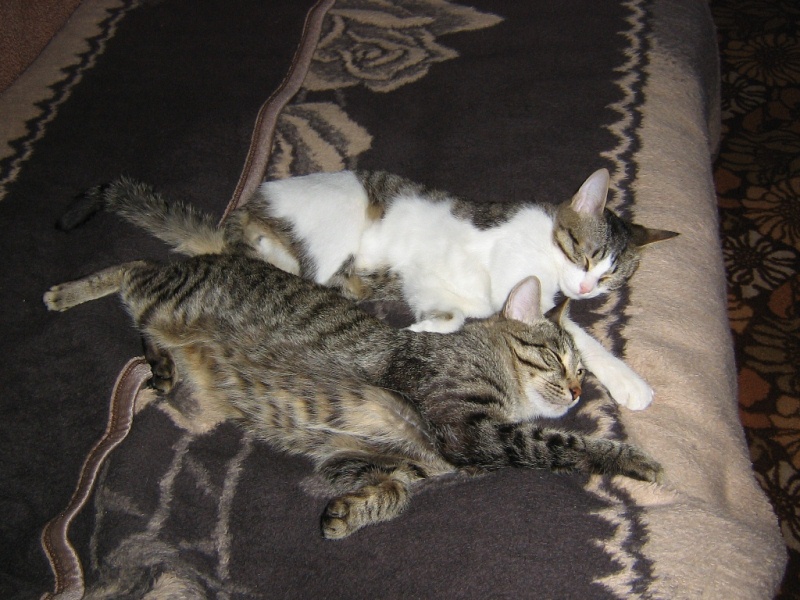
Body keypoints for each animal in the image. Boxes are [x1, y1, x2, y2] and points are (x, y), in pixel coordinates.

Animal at [44, 253, 662, 538]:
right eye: (559, 359)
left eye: (583, 370)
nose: (580, 389)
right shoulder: (469, 429)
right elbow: (558, 442)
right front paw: (632, 458)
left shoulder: (384, 460)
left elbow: (396, 489)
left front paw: (352, 510)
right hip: (167, 292)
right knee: (136, 268)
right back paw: (67, 292)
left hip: (175, 342)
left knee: (148, 326)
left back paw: (163, 369)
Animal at [58, 168, 678, 410]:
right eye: (586, 254)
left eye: (612, 274)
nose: (588, 284)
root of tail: (248, 211)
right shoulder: (507, 282)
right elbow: (548, 325)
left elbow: (570, 330)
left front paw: (624, 380)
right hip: (322, 242)